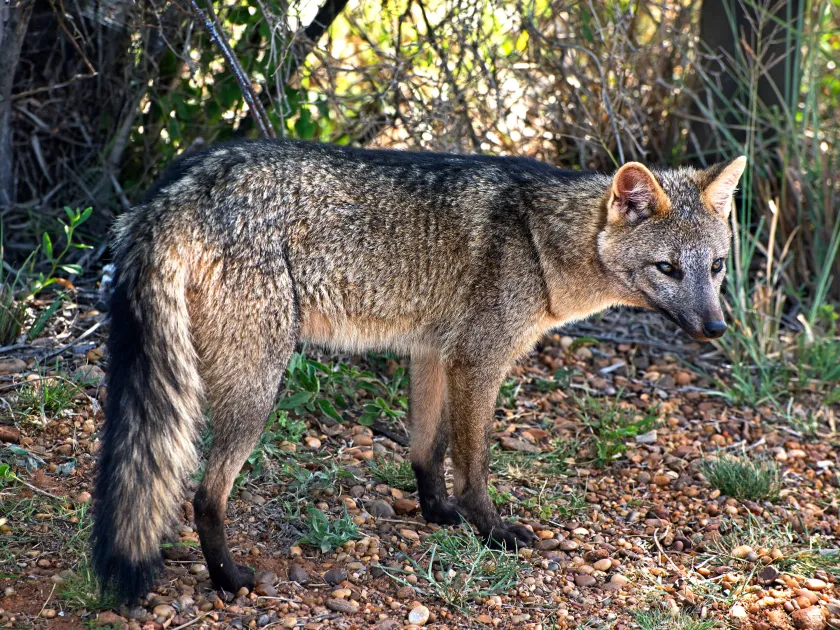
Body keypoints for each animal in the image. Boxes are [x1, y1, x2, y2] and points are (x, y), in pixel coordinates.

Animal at [92, 139, 746, 601]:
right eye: (667, 268)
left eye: (715, 267)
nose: (717, 328)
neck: (540, 243)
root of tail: (171, 192)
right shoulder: (477, 363)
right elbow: (473, 463)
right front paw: (491, 530)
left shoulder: (431, 354)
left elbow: (426, 449)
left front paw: (437, 513)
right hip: (260, 386)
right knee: (205, 495)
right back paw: (228, 579)